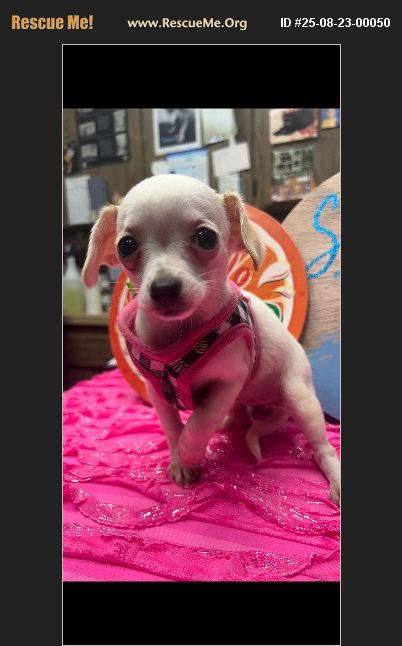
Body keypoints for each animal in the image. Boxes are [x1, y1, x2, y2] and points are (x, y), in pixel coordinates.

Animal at [82, 174, 340, 505]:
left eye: (205, 237)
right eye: (126, 246)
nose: (164, 287)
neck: (179, 332)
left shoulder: (227, 383)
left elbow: (199, 422)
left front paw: (189, 453)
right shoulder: (157, 393)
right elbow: (173, 427)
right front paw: (180, 463)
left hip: (299, 396)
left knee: (321, 447)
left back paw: (334, 476)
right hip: (246, 399)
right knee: (242, 419)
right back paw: (230, 424)